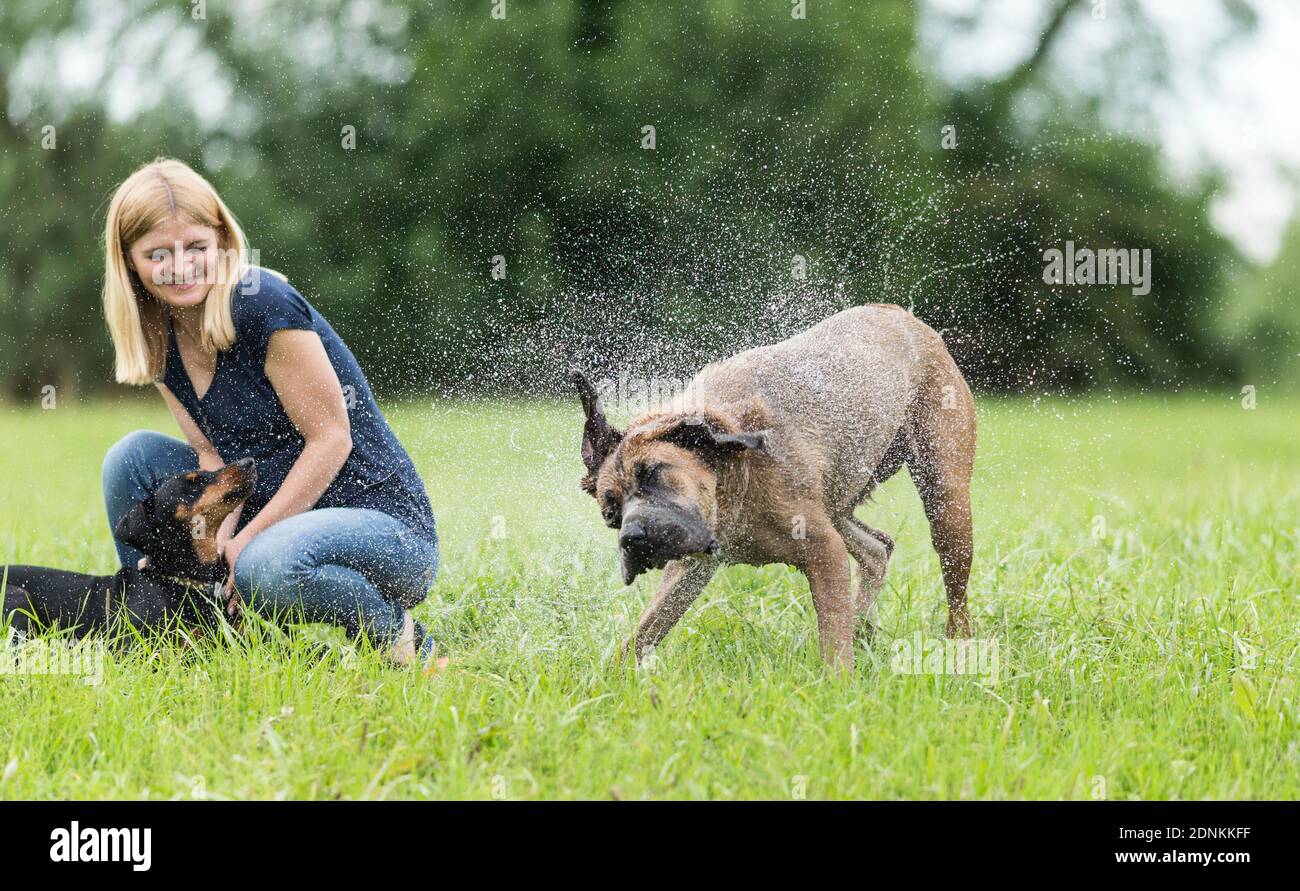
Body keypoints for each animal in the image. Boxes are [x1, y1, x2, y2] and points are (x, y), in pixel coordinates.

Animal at [572, 304, 977, 665]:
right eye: (610, 513)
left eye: (655, 473)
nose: (633, 538)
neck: (735, 467)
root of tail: (903, 315)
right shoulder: (689, 571)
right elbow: (644, 632)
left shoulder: (824, 551)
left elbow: (833, 644)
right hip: (837, 502)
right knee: (878, 549)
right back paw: (864, 632)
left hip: (947, 504)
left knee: (956, 597)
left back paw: (958, 652)